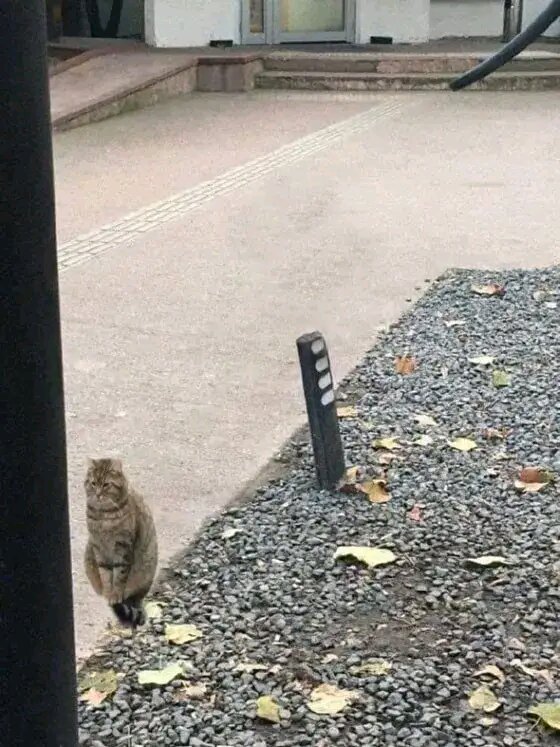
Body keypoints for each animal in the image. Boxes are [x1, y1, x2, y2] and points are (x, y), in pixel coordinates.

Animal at [83, 458, 158, 628]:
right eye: (93, 483)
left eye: (106, 484)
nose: (98, 494)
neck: (103, 515)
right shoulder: (98, 547)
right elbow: (105, 574)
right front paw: (108, 592)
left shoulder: (123, 547)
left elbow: (119, 575)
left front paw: (115, 594)